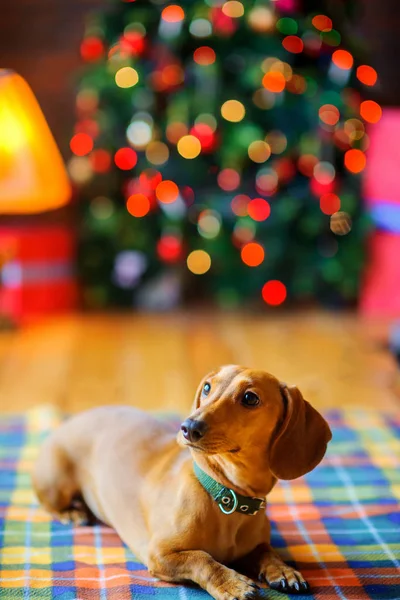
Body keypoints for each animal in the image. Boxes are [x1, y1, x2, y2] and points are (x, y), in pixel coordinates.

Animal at [32, 368, 332, 596]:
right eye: (208, 387)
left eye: (250, 398)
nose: (188, 427)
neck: (226, 496)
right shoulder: (158, 553)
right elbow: (203, 559)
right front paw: (232, 584)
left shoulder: (253, 545)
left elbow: (266, 549)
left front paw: (283, 569)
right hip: (56, 483)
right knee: (50, 502)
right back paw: (72, 513)